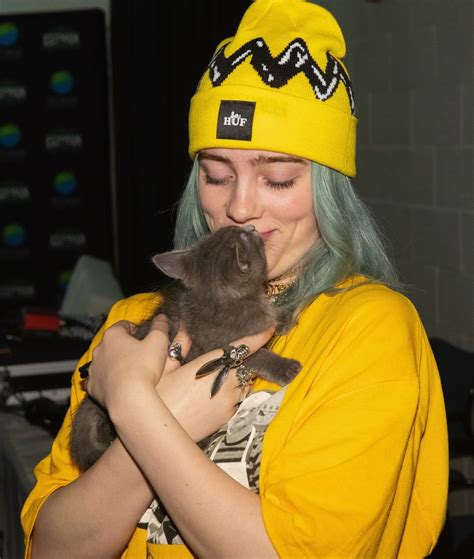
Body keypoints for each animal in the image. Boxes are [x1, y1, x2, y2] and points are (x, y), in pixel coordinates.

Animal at [70, 225, 300, 470]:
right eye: (244, 236)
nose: (251, 227)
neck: (215, 298)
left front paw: (282, 317)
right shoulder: (222, 346)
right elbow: (257, 354)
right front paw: (285, 367)